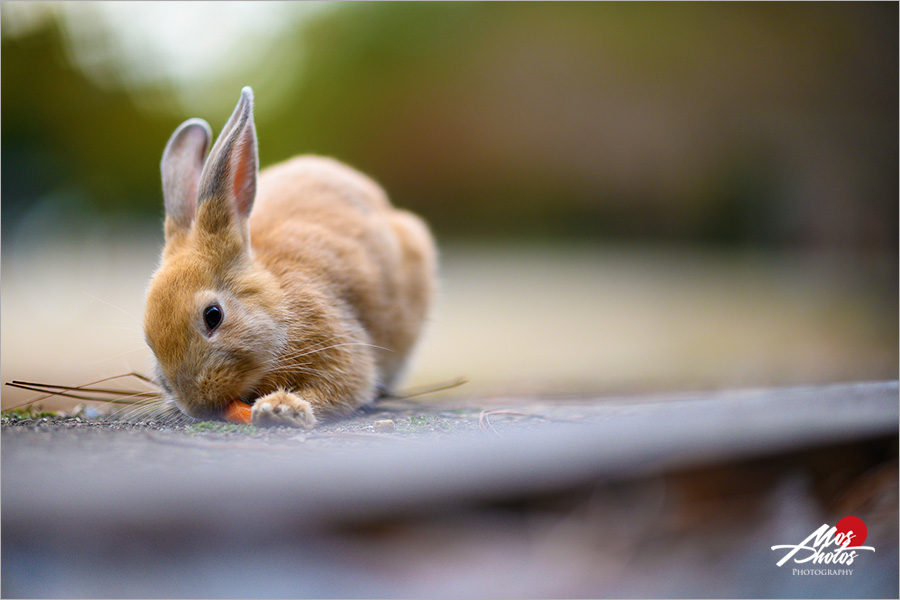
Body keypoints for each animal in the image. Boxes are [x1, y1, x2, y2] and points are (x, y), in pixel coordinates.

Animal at [143, 86, 436, 428]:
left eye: (213, 315)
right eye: (149, 340)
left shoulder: (338, 345)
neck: (278, 304)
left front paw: (280, 408)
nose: (196, 406)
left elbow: (342, 386)